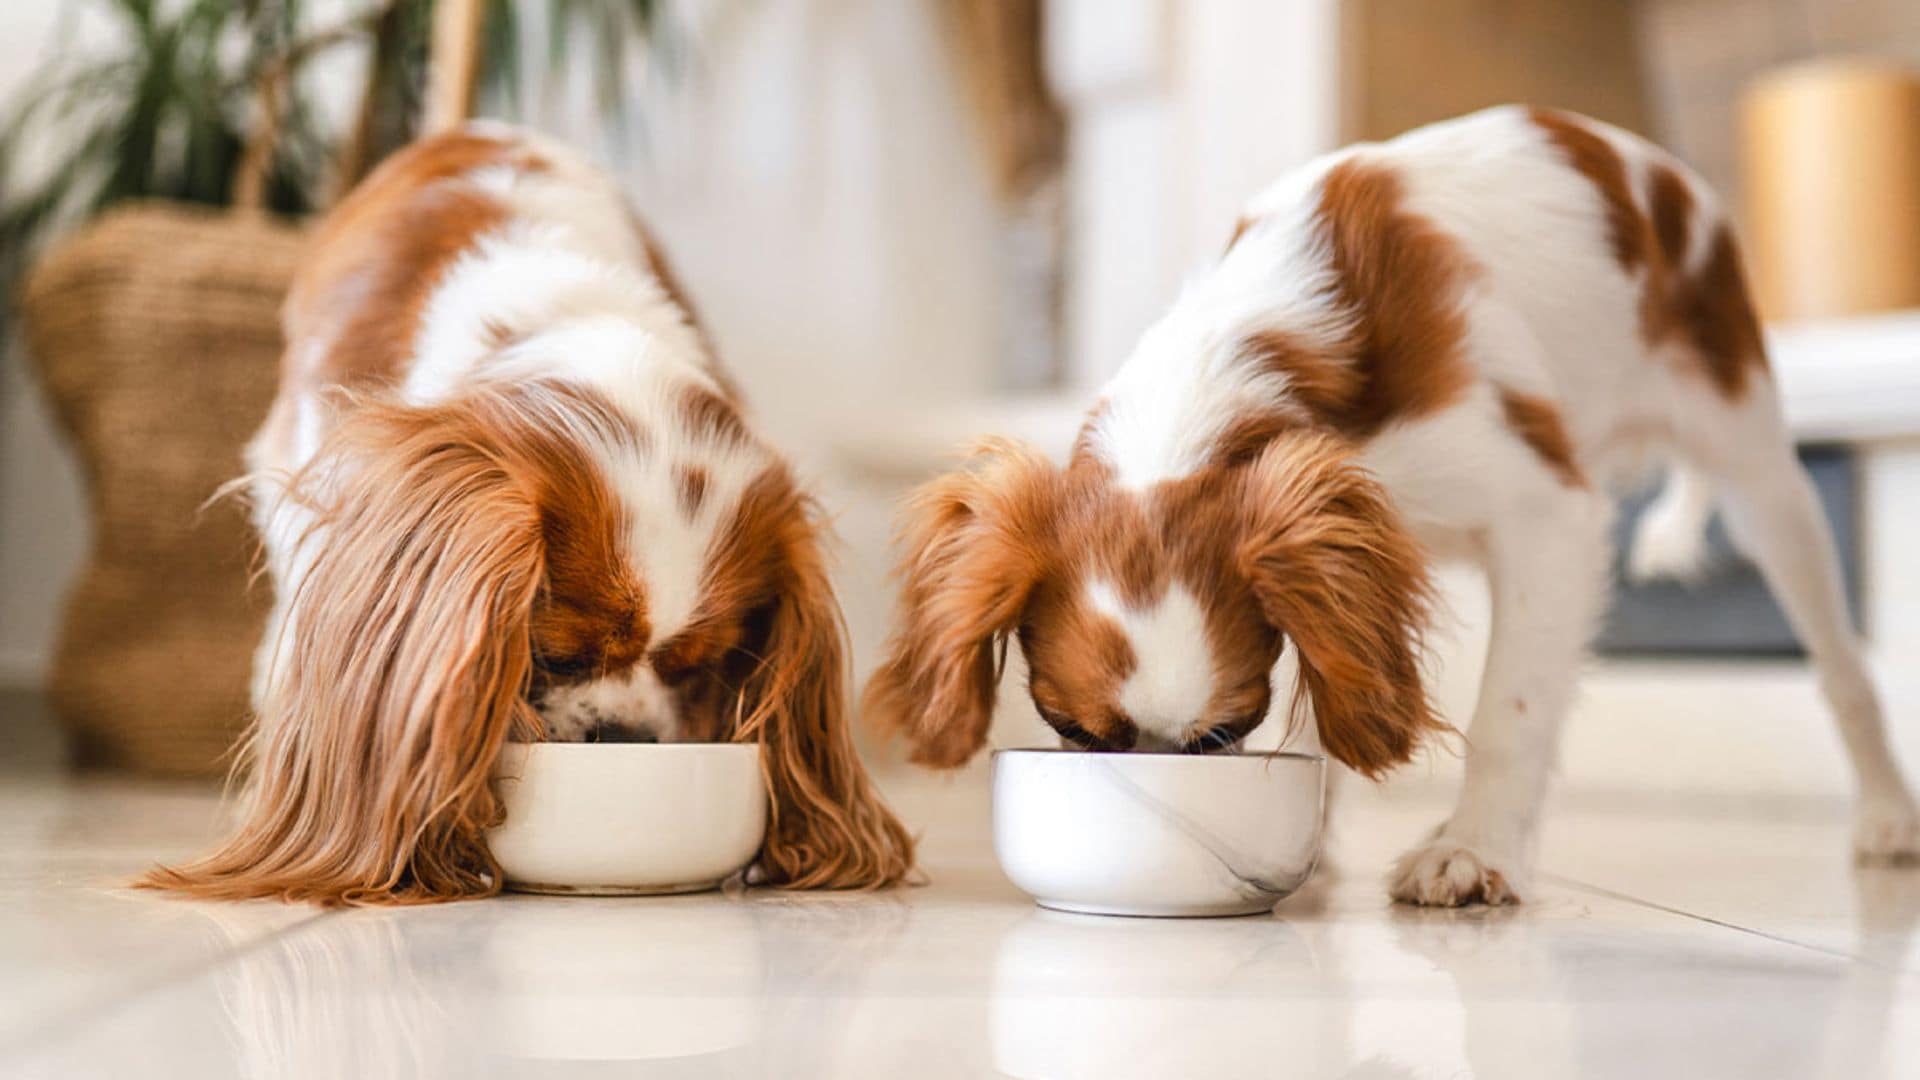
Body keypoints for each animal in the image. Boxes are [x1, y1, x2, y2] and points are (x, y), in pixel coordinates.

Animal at [871, 107, 1920, 899]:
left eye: (1227, 734)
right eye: (1076, 733)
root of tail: (1664, 174)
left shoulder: (1546, 515)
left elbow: (1509, 713)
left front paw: (1474, 852)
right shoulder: (1340, 551)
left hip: (1758, 470)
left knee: (1845, 672)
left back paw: (1886, 818)